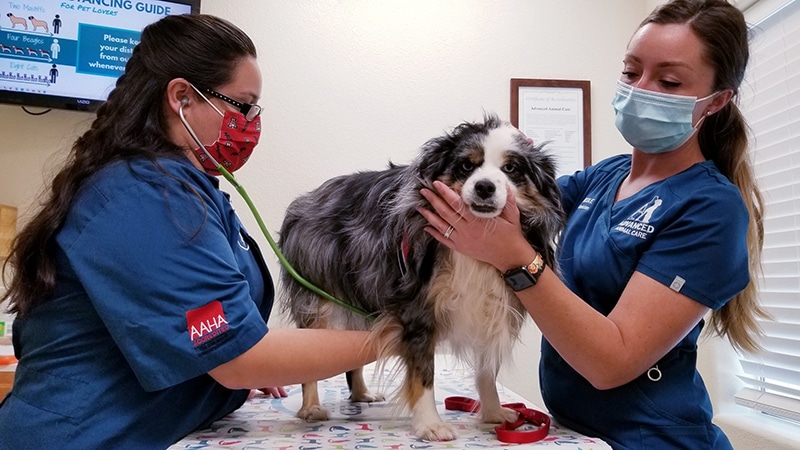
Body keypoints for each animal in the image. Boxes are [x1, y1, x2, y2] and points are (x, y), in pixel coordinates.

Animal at [278, 112, 564, 440]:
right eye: (467, 165)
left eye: (511, 169)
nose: (484, 187)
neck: (476, 241)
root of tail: (305, 201)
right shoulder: (417, 307)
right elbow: (424, 372)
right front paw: (430, 423)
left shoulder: (491, 305)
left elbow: (486, 370)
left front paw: (492, 412)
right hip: (317, 294)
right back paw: (311, 407)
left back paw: (362, 393)